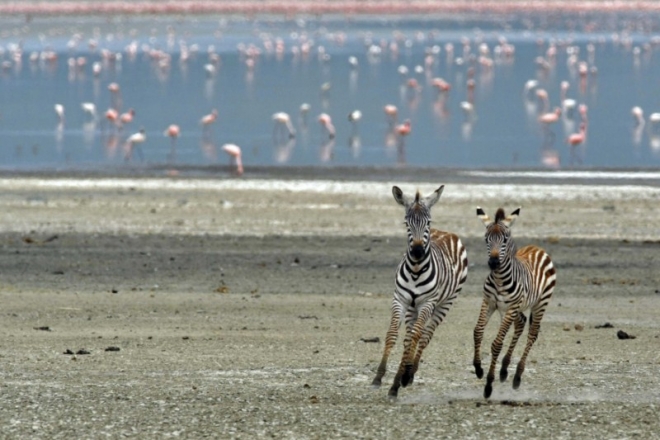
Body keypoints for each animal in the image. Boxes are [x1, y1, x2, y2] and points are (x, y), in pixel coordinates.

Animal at [372, 186, 470, 398]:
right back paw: (404, 373)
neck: (416, 269)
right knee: (410, 337)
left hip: (444, 304)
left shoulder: (428, 303)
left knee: (424, 336)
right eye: (406, 223)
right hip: (412, 307)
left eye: (428, 222)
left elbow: (417, 336)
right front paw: (379, 376)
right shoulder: (400, 299)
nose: (417, 252)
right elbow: (393, 334)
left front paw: (398, 381)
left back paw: (409, 373)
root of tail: (447, 232)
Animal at [474, 206, 556, 398]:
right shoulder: (489, 302)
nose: (493, 262)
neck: (499, 279)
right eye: (486, 239)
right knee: (521, 323)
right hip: (515, 309)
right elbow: (478, 331)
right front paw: (478, 368)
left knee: (532, 333)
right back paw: (504, 369)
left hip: (540, 303)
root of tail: (537, 248)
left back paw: (517, 375)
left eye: (504, 239)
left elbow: (497, 344)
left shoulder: (511, 307)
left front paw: (489, 384)